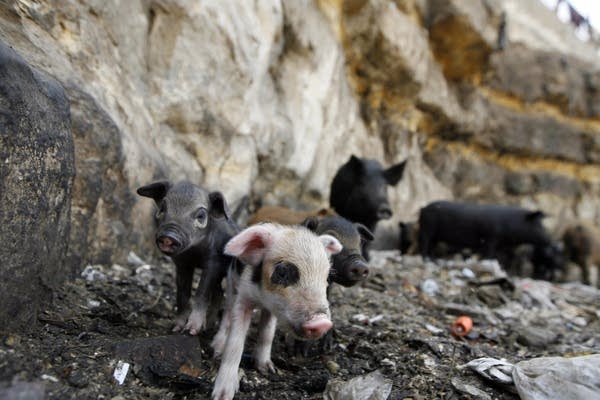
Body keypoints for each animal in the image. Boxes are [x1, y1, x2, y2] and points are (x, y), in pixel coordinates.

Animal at [137, 181, 239, 334]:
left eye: (201, 216)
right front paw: (175, 328)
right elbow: (182, 294)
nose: (169, 236)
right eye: (162, 207)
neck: (194, 253)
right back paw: (208, 327)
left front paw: (191, 331)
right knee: (219, 293)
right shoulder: (182, 263)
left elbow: (202, 293)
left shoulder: (213, 263)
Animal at [420, 200, 564, 282]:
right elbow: (490, 255)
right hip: (428, 228)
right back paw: (427, 259)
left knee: (432, 245)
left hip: (435, 234)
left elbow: (505, 259)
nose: (551, 241)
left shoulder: (503, 247)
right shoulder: (491, 238)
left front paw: (506, 271)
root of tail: (424, 208)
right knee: (424, 242)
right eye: (538, 225)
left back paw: (434, 260)